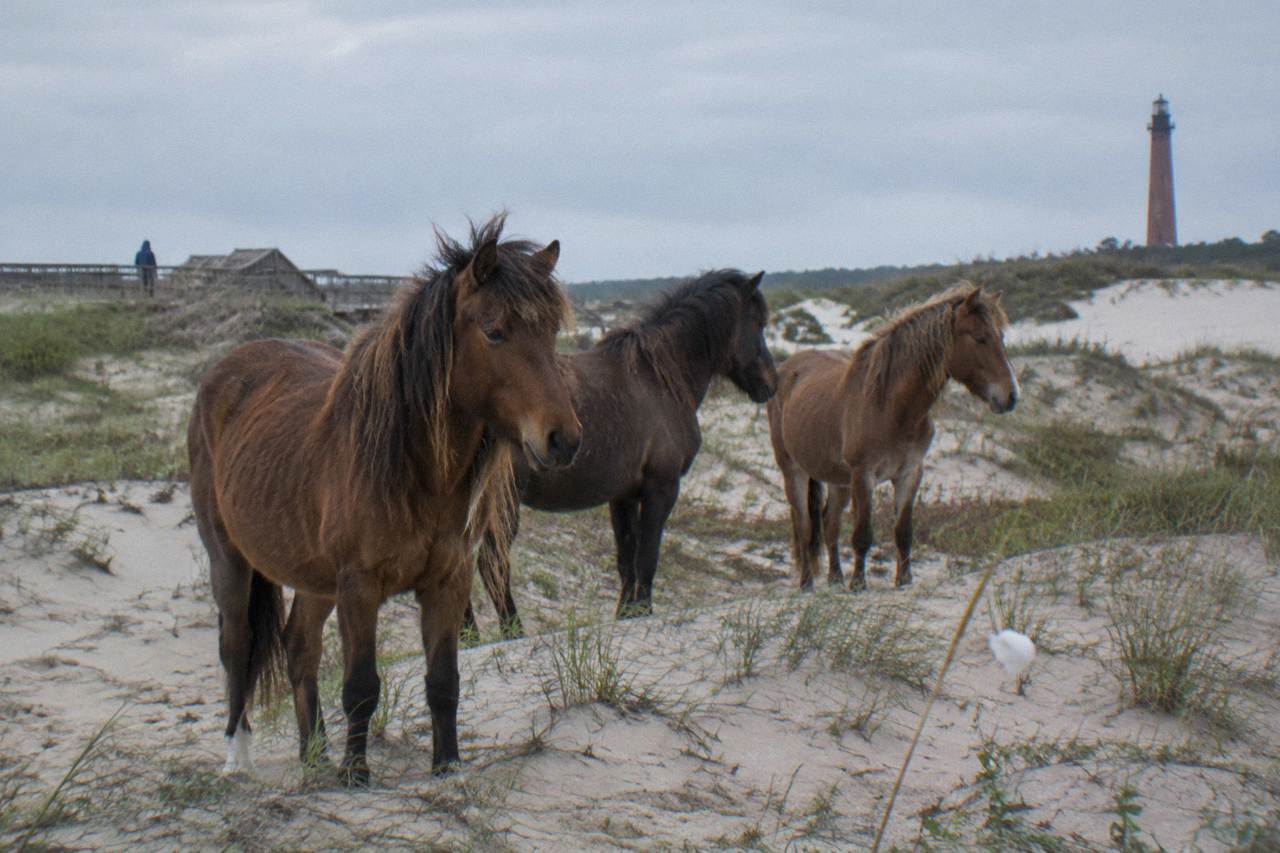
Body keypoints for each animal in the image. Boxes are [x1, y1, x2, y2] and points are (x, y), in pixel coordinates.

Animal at [187, 215, 581, 786]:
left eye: (551, 331)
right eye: (494, 330)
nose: (563, 440)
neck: (414, 470)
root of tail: (224, 372)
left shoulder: (448, 581)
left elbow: (444, 681)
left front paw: (447, 766)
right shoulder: (360, 586)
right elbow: (361, 686)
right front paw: (355, 774)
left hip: (314, 577)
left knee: (298, 646)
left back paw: (313, 756)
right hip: (231, 561)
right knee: (237, 648)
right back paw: (237, 757)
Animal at [467, 269, 777, 635]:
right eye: (758, 323)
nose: (771, 383)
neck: (659, 379)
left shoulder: (623, 495)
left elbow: (627, 559)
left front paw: (626, 613)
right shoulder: (661, 488)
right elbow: (647, 557)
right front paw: (643, 610)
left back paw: (469, 636)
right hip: (504, 502)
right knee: (493, 563)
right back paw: (510, 632)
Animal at [767, 284, 1017, 591]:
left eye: (1001, 337)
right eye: (980, 338)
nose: (1010, 397)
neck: (891, 407)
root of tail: (786, 369)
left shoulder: (910, 473)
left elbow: (903, 531)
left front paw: (904, 580)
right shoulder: (864, 476)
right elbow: (863, 533)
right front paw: (858, 584)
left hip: (838, 479)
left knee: (829, 522)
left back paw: (835, 578)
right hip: (794, 470)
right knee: (804, 525)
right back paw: (806, 582)